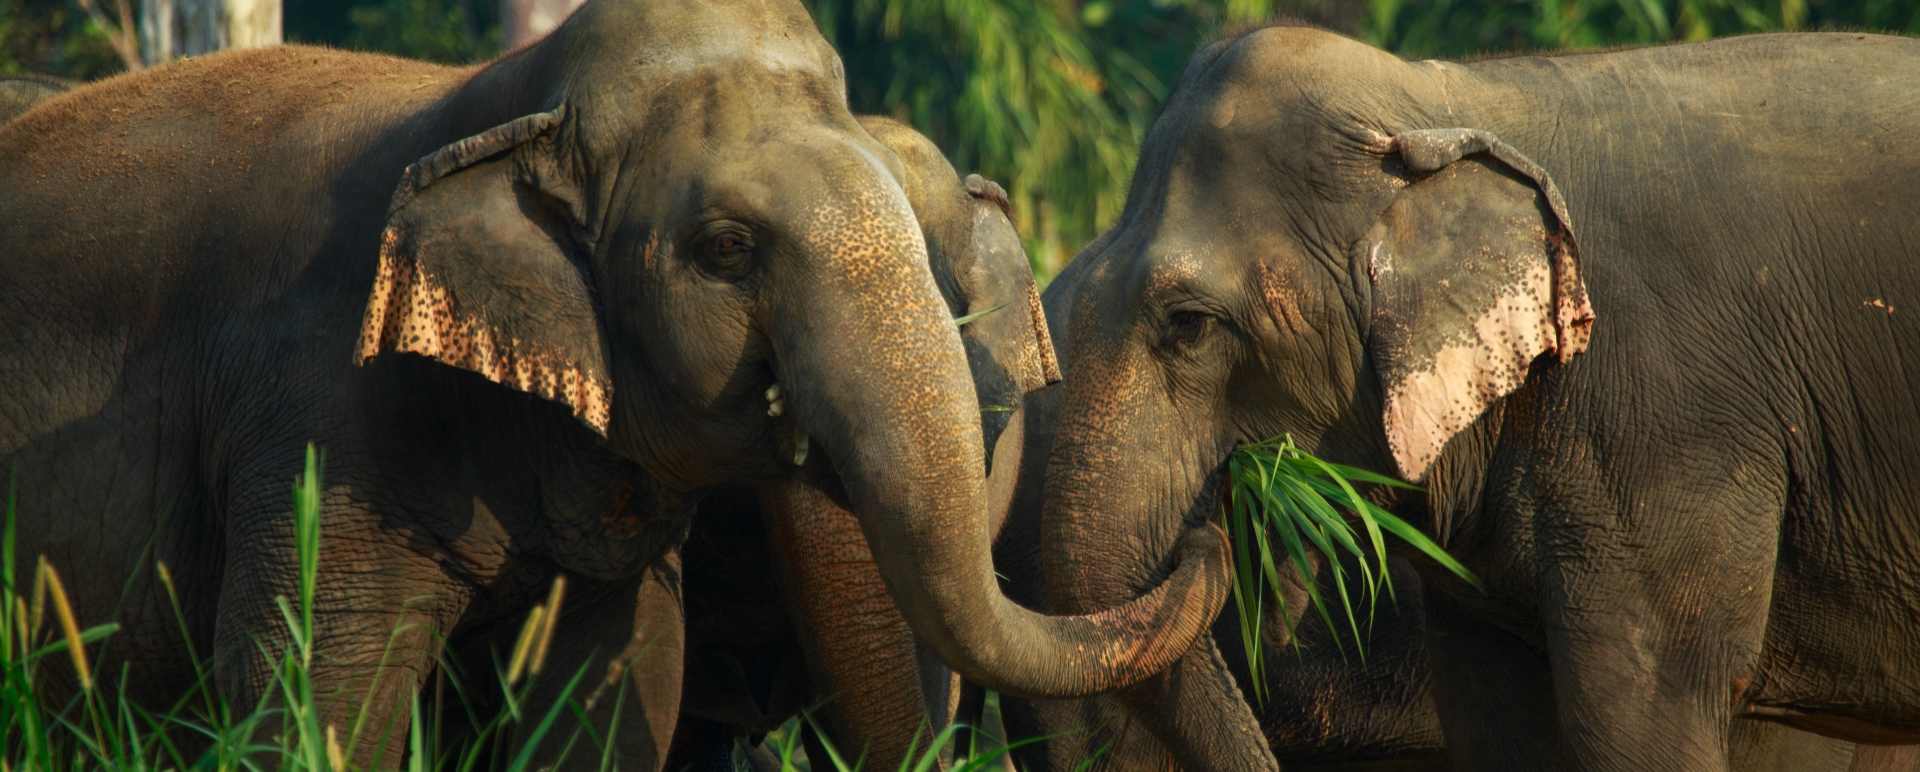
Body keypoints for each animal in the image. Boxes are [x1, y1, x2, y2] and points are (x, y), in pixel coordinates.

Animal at [0, 1, 1232, 766]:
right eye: (727, 250)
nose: (1213, 524)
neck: (497, 103)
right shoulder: (315, 413)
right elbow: (316, 682)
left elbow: (622, 673)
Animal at [1015, 26, 1920, 770]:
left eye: (1189, 325)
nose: (1214, 531)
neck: (1445, 104)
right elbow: (1498, 719)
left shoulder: (1671, 412)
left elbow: (1645, 705)